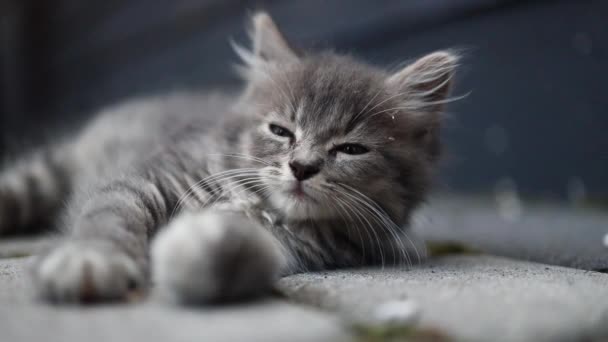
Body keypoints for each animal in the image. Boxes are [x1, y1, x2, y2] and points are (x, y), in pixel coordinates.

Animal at [0, 12, 458, 304]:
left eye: (351, 149)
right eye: (281, 131)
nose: (302, 167)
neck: (253, 203)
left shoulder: (295, 247)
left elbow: (237, 254)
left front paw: (191, 254)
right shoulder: (149, 175)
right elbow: (110, 214)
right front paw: (91, 260)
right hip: (43, 174)